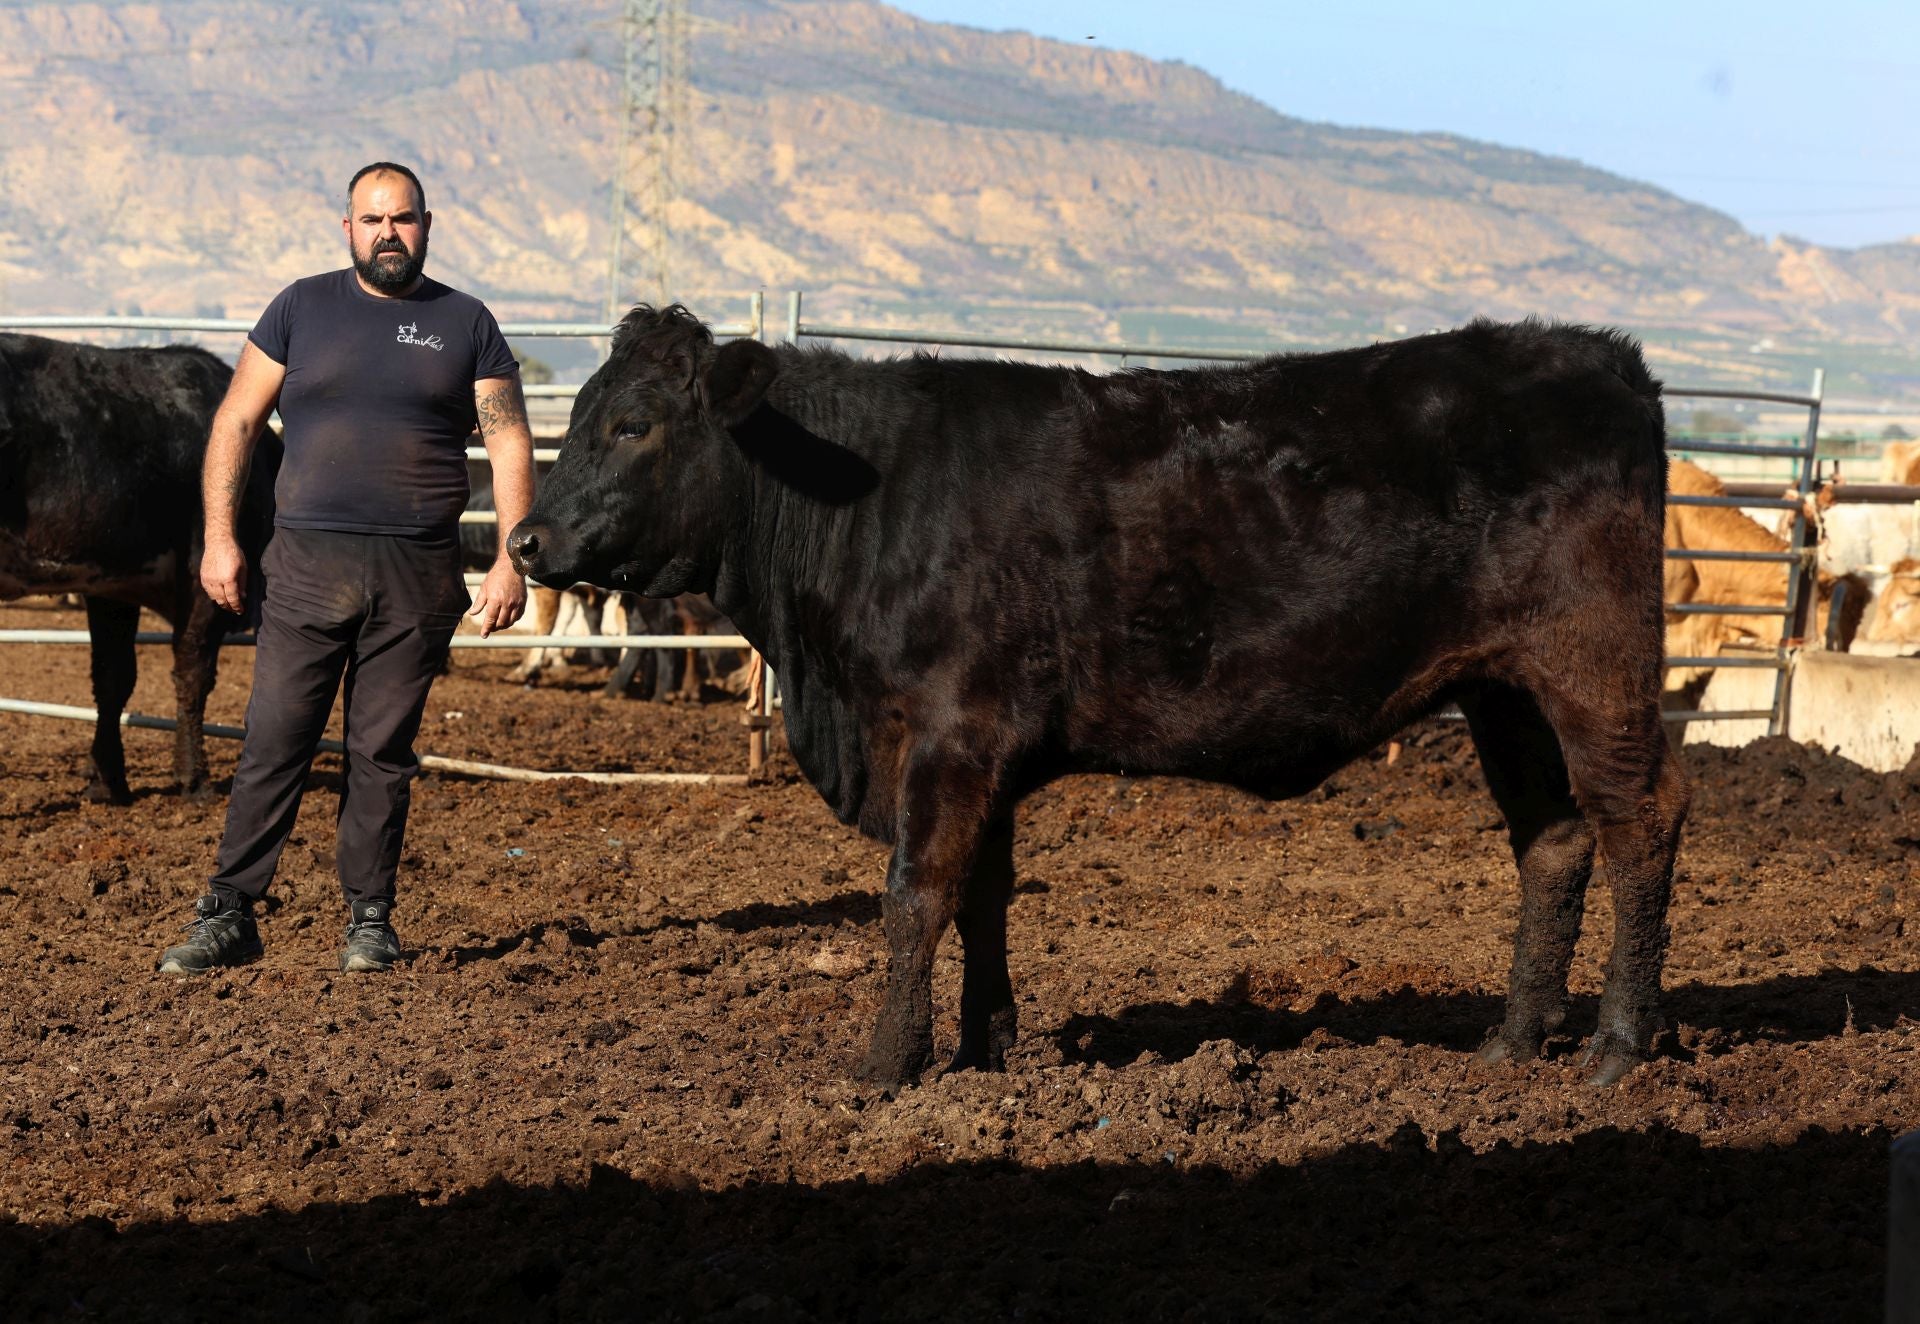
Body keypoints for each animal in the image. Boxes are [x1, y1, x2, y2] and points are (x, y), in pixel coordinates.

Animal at [0, 335, 280, 798]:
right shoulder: (206, 579)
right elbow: (193, 673)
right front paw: (193, 779)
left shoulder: (110, 584)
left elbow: (112, 678)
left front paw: (106, 779)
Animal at [510, 307, 1697, 1082]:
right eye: (584, 410)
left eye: (635, 423)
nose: (525, 539)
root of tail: (1601, 356)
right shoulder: (981, 751)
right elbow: (981, 896)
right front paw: (985, 1047)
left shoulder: (947, 732)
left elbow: (915, 895)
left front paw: (889, 1063)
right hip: (1504, 692)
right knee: (1553, 841)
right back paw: (1511, 1043)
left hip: (1594, 668)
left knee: (1639, 820)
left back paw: (1616, 1047)